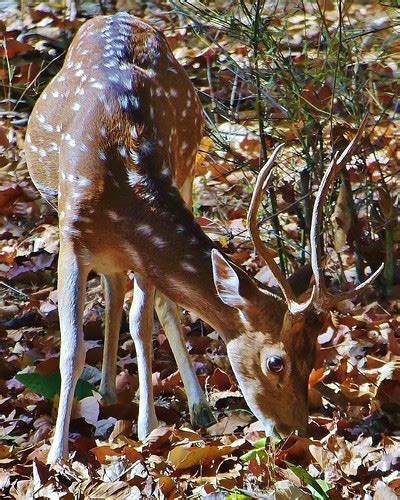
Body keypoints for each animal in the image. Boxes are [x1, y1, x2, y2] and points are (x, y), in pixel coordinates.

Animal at [23, 12, 382, 464]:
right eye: (276, 362)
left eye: (315, 353)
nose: (295, 433)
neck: (118, 180)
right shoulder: (70, 238)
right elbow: (71, 347)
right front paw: (57, 454)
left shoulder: (142, 249)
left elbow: (143, 322)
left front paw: (147, 428)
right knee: (117, 290)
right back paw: (107, 393)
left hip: (188, 168)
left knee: (147, 300)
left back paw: (187, 404)